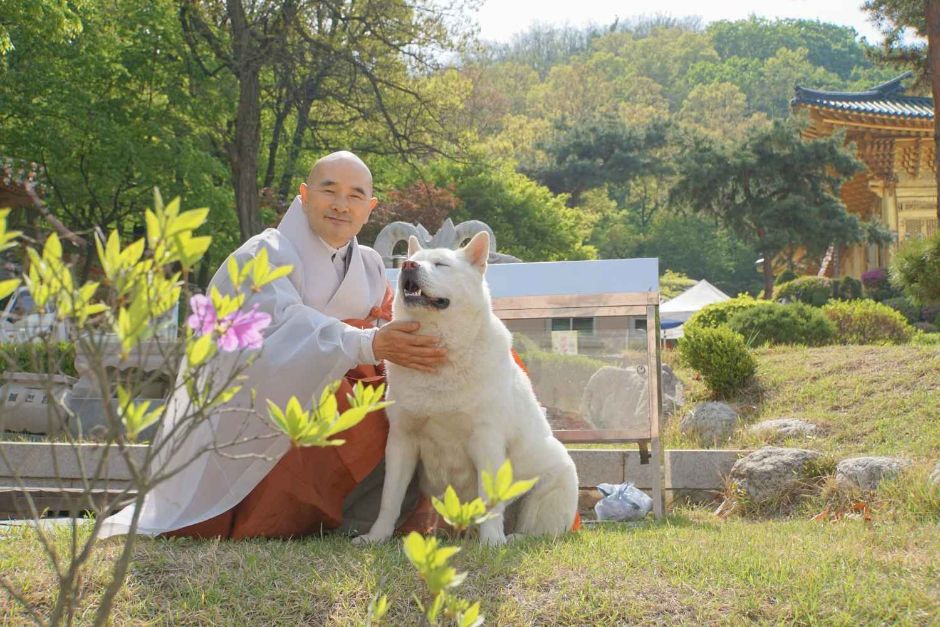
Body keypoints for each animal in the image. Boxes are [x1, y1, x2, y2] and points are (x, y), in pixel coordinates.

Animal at [356, 231, 580, 544]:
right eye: (411, 261)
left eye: (440, 264)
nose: (408, 266)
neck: (443, 356)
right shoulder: (401, 441)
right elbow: (390, 498)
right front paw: (376, 537)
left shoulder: (487, 440)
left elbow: (490, 500)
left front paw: (492, 542)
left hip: (555, 479)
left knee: (537, 531)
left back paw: (509, 538)